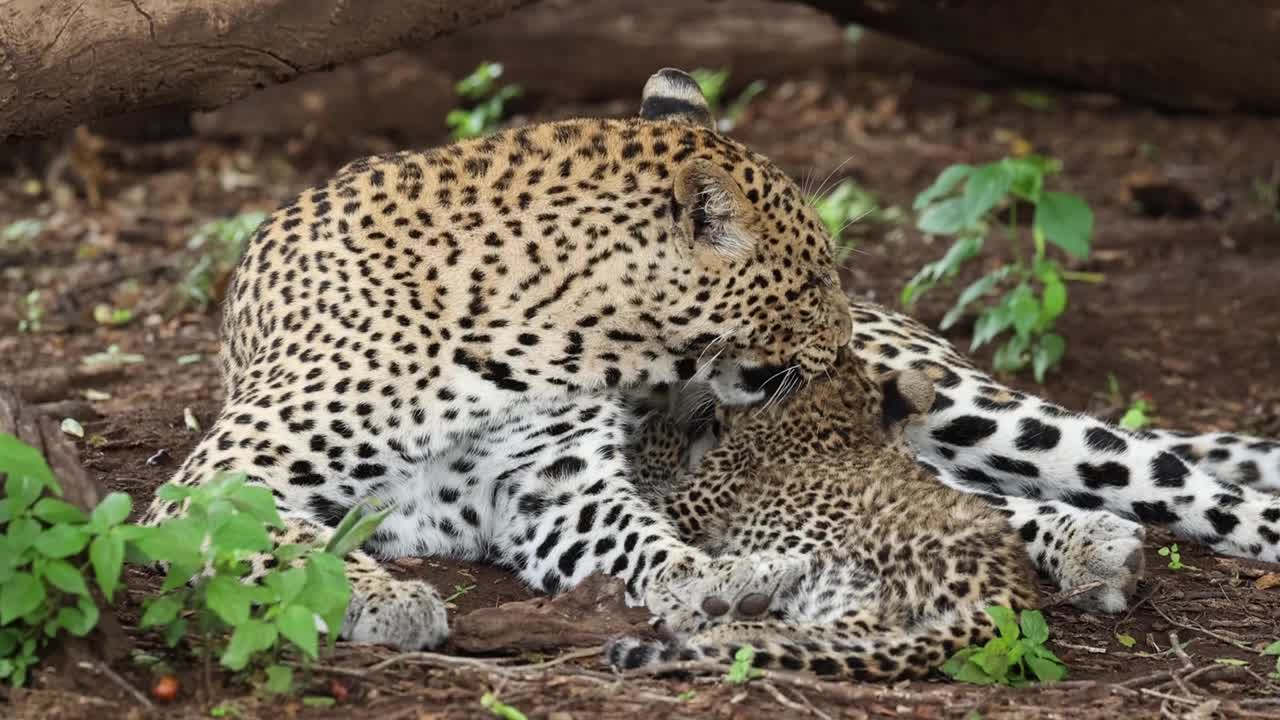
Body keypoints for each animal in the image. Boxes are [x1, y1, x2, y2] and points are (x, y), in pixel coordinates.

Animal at [140, 68, 850, 650]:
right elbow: (293, 544)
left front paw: (725, 575)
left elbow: (638, 540)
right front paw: (386, 599)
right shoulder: (219, 480)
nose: (843, 341)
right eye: (815, 281)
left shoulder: (551, 484)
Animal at [608, 347, 1041, 680]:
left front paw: (660, 427)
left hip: (874, 558)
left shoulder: (687, 502)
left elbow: (649, 478)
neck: (836, 406)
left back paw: (714, 624)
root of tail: (1016, 595)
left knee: (858, 633)